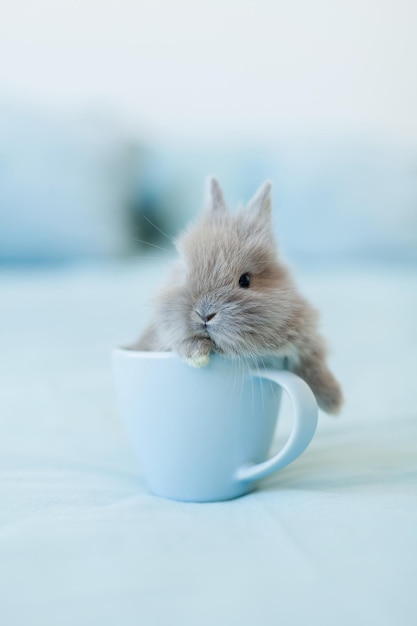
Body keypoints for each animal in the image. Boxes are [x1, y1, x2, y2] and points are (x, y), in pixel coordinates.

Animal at [135, 176, 342, 414]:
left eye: (245, 280)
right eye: (185, 272)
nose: (204, 315)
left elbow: (313, 357)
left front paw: (334, 401)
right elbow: (181, 340)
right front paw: (199, 356)